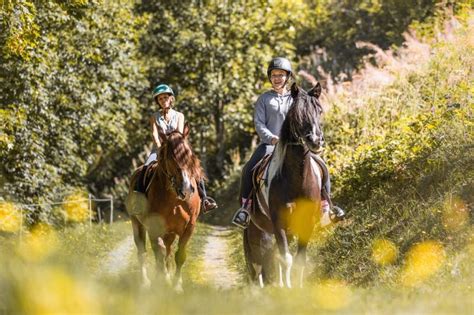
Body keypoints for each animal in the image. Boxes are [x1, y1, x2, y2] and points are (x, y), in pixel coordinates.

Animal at [126, 123, 202, 292]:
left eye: (189, 155)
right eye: (171, 157)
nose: (186, 190)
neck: (174, 199)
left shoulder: (189, 227)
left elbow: (179, 255)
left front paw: (177, 285)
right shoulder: (154, 227)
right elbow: (159, 254)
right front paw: (164, 281)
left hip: (169, 233)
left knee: (166, 251)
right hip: (138, 224)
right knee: (143, 251)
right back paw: (146, 282)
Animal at [244, 83, 326, 288]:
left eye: (319, 110)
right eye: (297, 113)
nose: (316, 141)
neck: (297, 179)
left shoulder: (306, 222)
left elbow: (298, 259)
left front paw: (297, 287)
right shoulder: (279, 221)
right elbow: (285, 258)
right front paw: (288, 289)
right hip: (256, 231)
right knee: (258, 263)